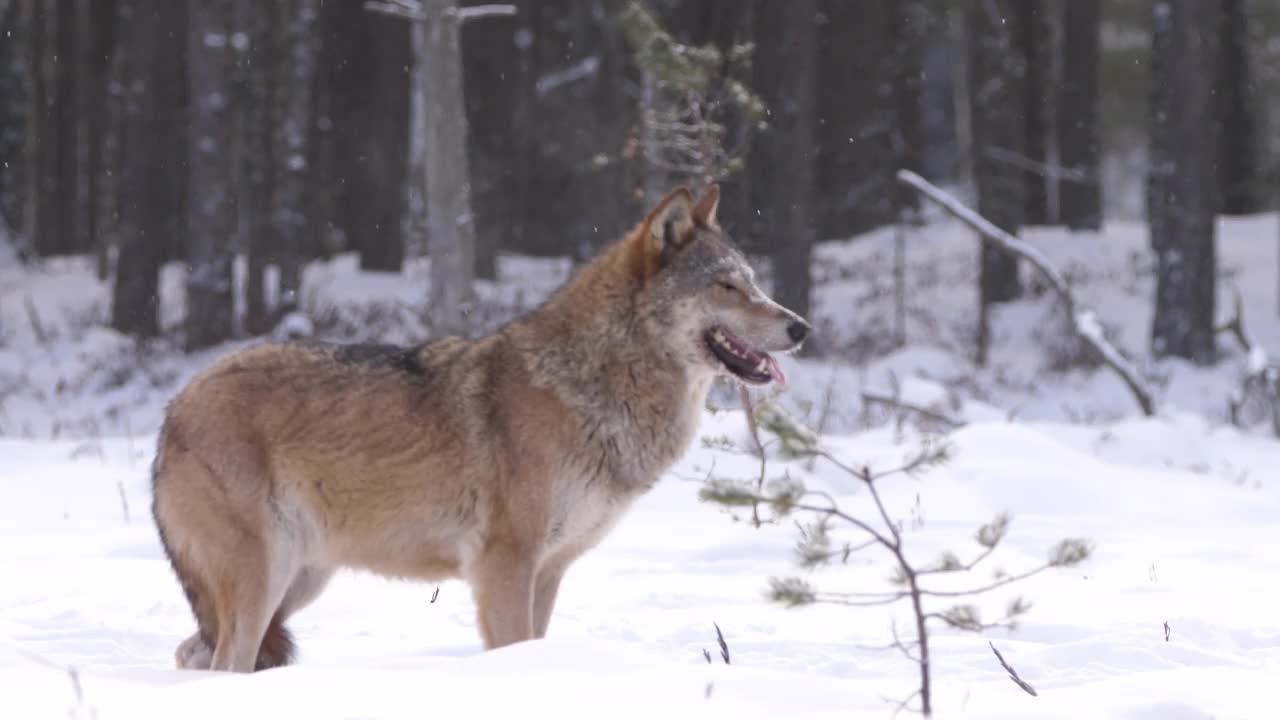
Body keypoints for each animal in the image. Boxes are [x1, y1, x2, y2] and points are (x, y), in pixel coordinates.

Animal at [152, 183, 808, 666]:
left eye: (753, 282)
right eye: (727, 285)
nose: (800, 327)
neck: (593, 386)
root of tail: (175, 406)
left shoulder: (548, 572)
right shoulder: (504, 566)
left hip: (296, 586)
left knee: (192, 653)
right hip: (263, 587)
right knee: (222, 660)